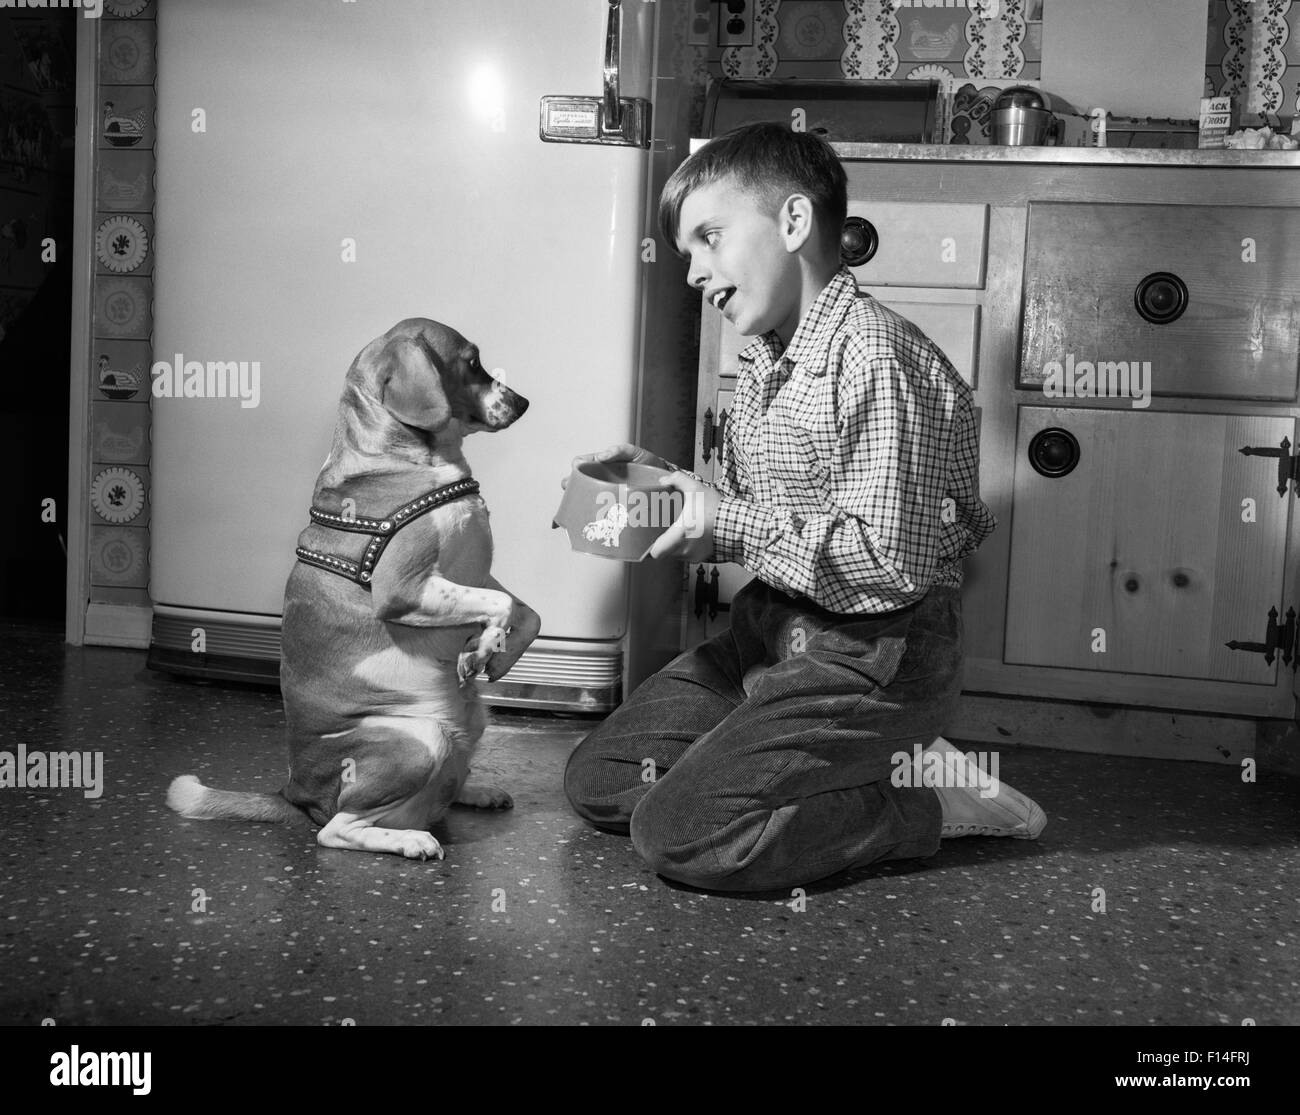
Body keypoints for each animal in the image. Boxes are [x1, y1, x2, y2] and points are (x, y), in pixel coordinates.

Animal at [169, 317, 543, 857]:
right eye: (472, 362)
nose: (523, 401)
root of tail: (294, 794)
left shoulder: (473, 573)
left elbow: (526, 614)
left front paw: (490, 655)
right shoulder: (406, 589)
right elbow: (501, 606)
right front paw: (484, 645)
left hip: (468, 726)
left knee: (439, 793)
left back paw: (475, 791)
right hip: (421, 740)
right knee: (338, 829)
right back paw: (411, 840)